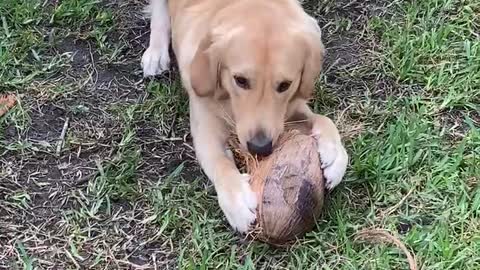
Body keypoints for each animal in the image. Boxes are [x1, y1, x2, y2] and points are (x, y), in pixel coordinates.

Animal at [141, 0, 346, 232]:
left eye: (285, 85)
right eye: (240, 80)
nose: (260, 147)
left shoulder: (289, 110)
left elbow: (324, 120)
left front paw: (335, 154)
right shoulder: (205, 128)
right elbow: (220, 163)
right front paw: (237, 199)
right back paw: (156, 52)